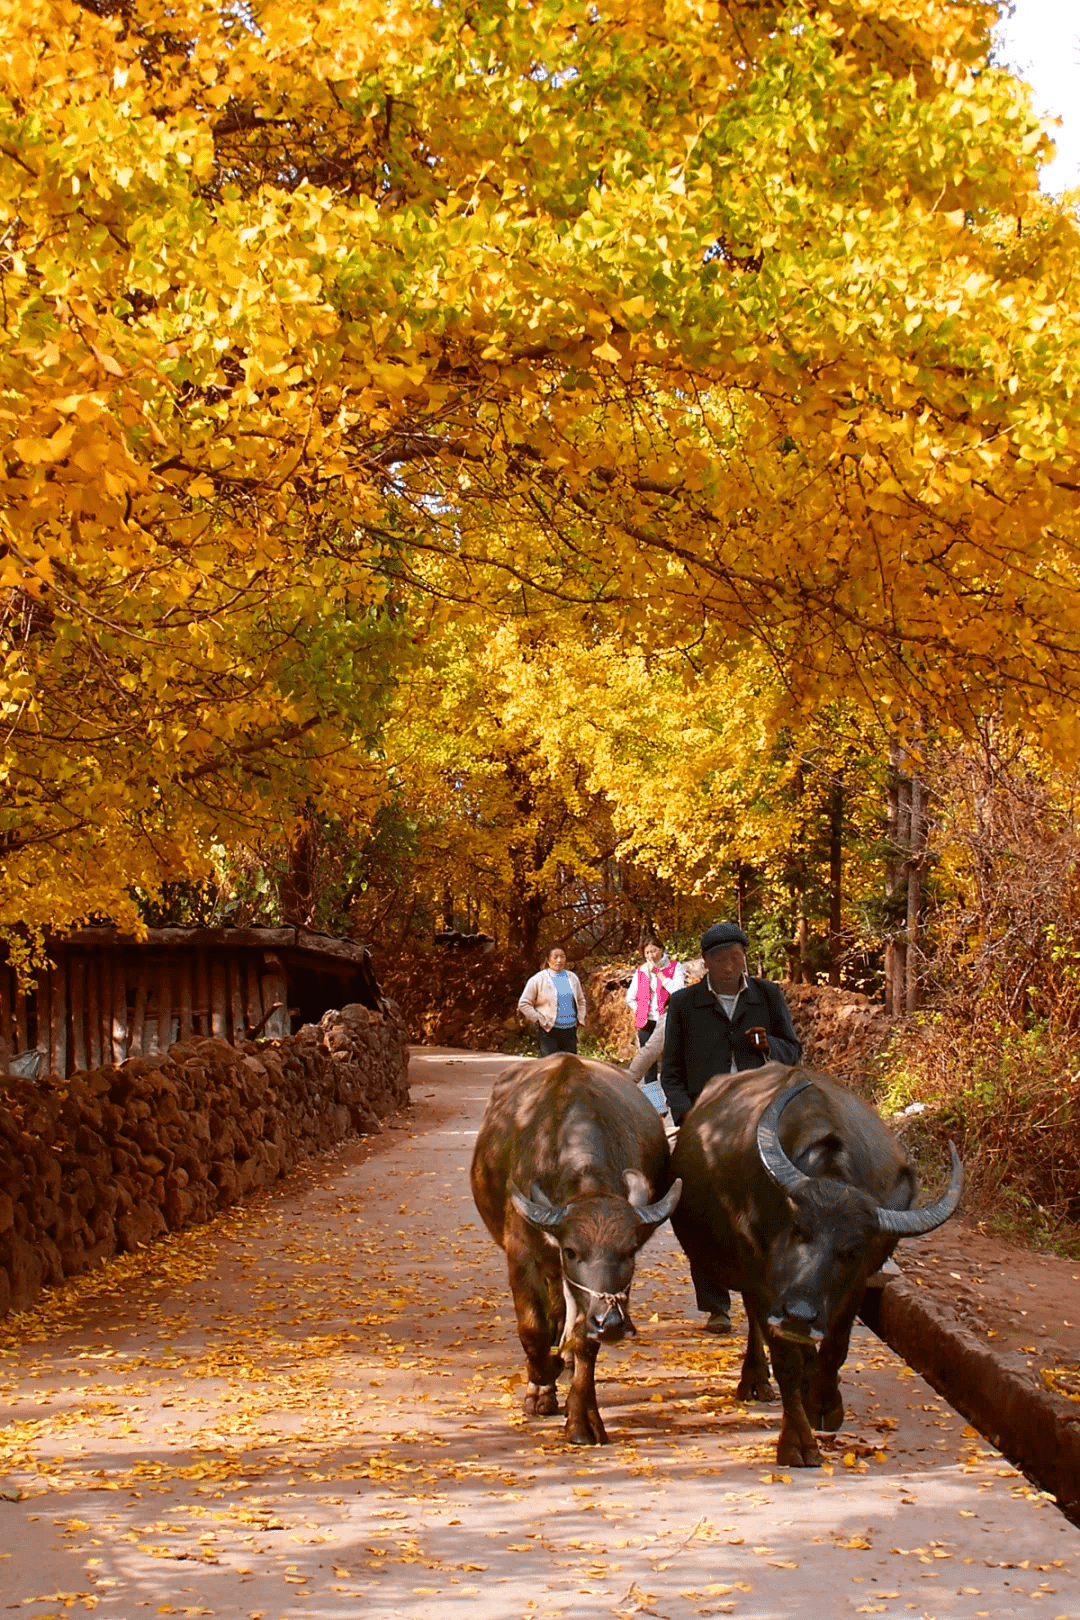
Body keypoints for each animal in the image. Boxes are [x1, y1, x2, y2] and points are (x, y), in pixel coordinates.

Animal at [469, 1056, 680, 1451]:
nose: (611, 1323)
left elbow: (584, 1340)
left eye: (630, 1251)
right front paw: (541, 1387)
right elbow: (532, 1329)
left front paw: (582, 1419)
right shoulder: (521, 1253)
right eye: (571, 1250)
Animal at [676, 1062, 965, 1470]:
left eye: (852, 1250)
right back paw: (755, 1379)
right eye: (798, 1228)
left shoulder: (858, 1281)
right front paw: (796, 1442)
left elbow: (836, 1346)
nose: (799, 1314)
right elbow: (785, 1358)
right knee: (757, 1324)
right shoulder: (759, 1274)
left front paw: (825, 1403)